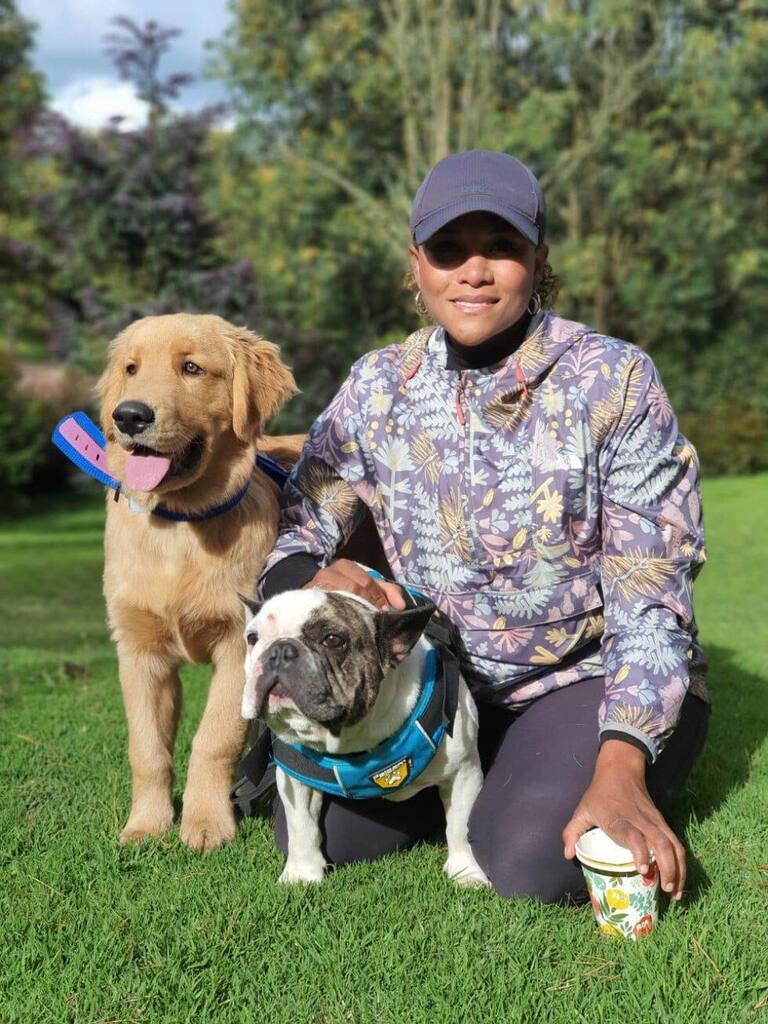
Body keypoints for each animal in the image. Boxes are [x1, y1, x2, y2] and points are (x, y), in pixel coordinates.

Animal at [98, 312, 301, 852]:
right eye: (131, 368)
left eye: (191, 367)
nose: (129, 416)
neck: (180, 525)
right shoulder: (138, 650)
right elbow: (146, 748)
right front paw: (147, 824)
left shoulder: (238, 646)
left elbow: (214, 739)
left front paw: (207, 823)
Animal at [240, 587, 490, 886]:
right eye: (252, 638)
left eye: (333, 640)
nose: (279, 650)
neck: (350, 734)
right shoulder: (294, 779)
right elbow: (301, 825)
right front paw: (302, 874)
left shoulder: (463, 772)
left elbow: (460, 825)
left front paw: (467, 871)